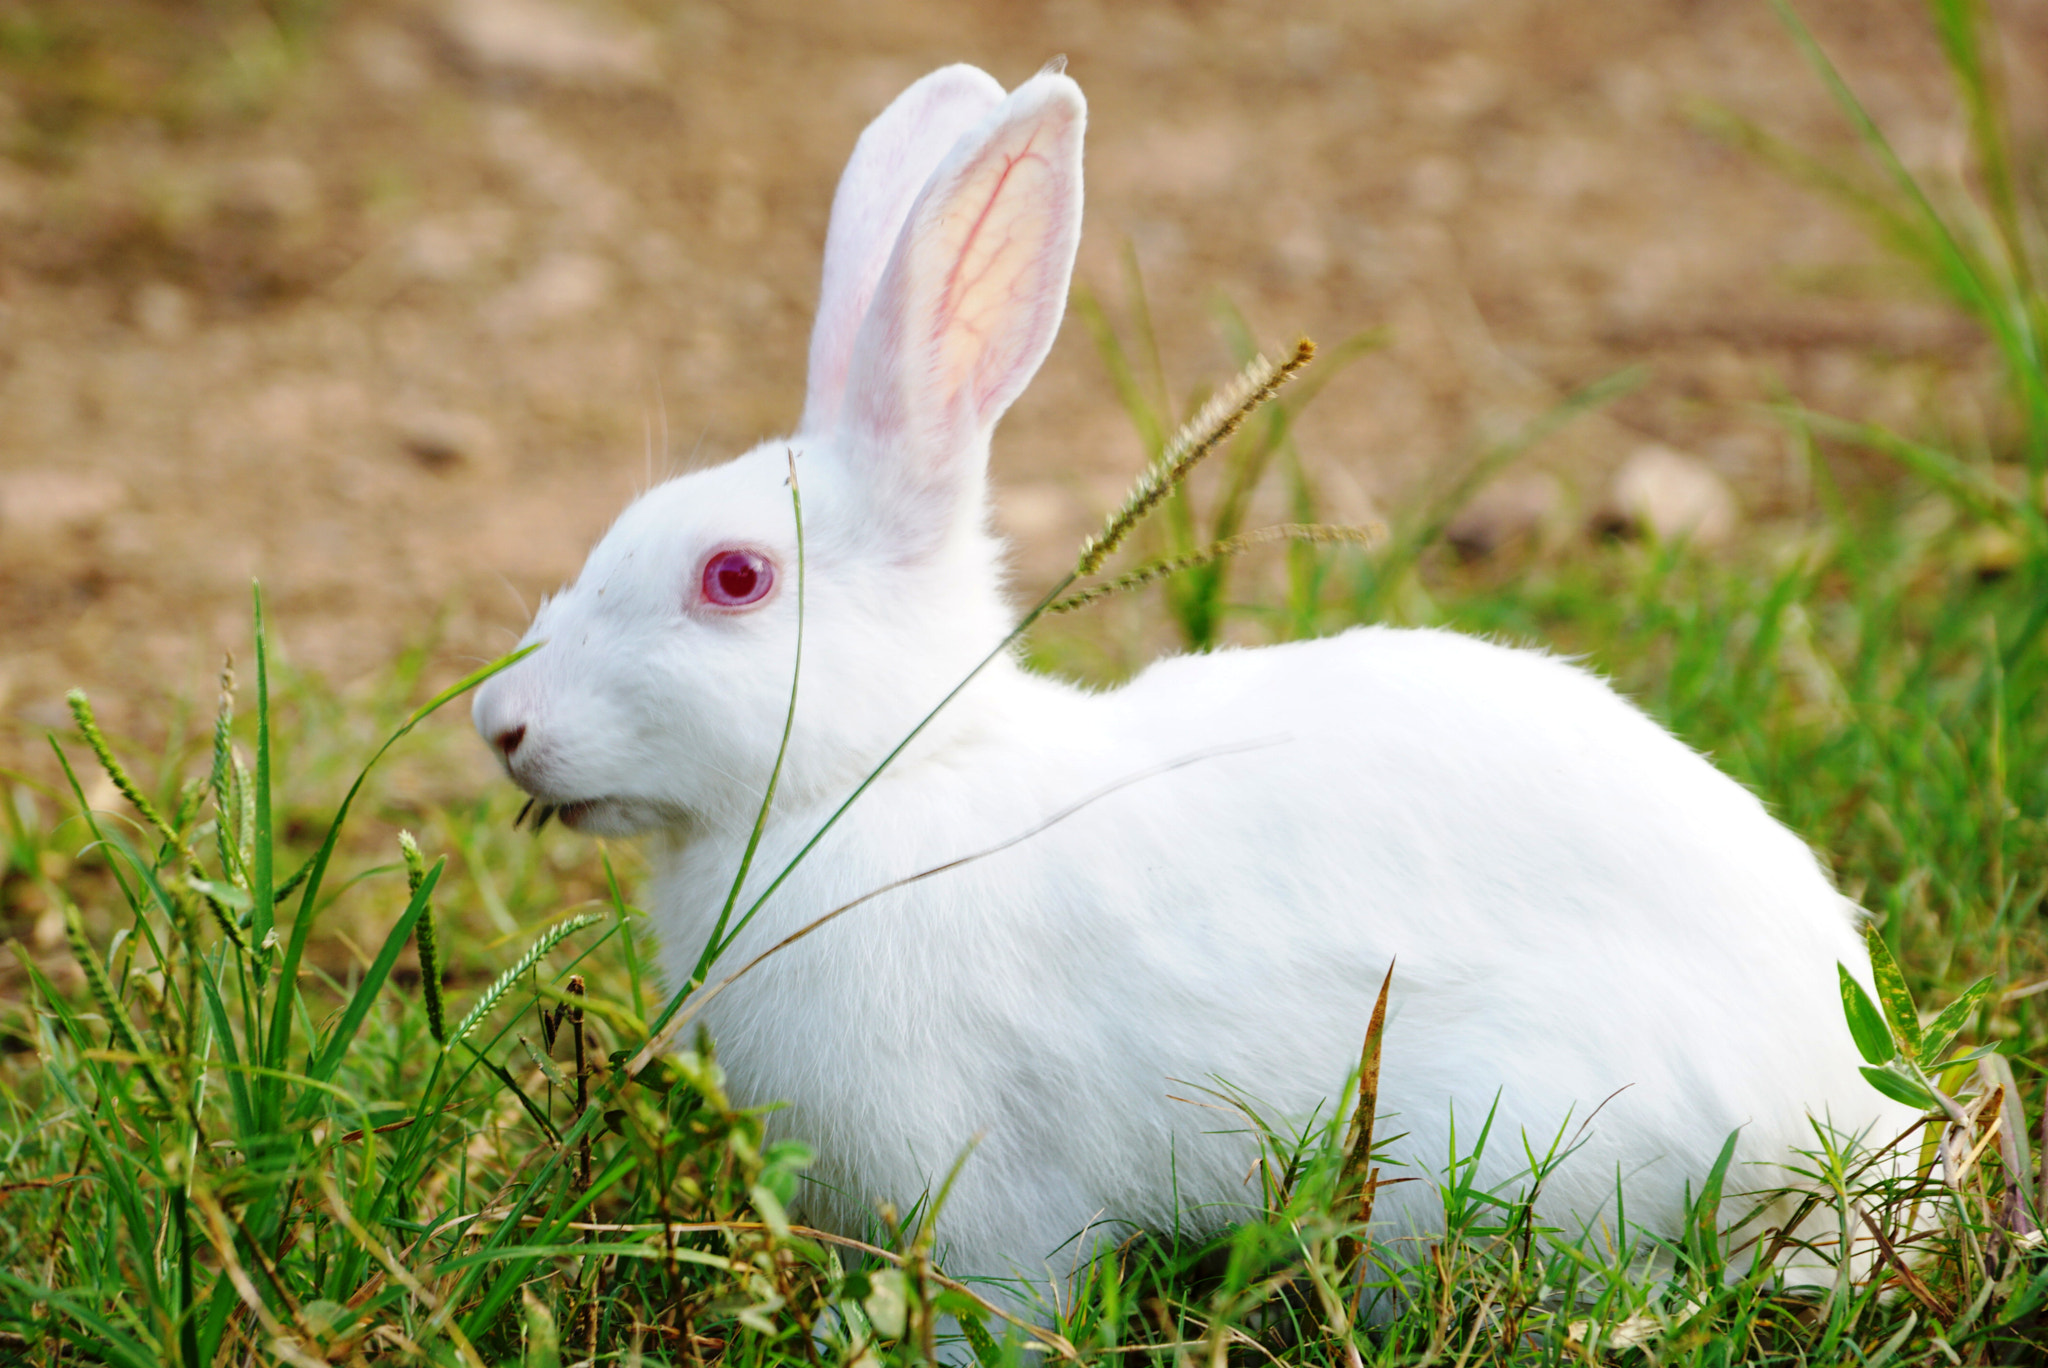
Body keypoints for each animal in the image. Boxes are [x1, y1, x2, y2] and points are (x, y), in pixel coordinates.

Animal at [471, 62, 1920, 1311]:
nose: (501, 726)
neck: (886, 778)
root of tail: (1844, 1116)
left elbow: (1004, 1302)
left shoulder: (993, 1198)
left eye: (735, 578)